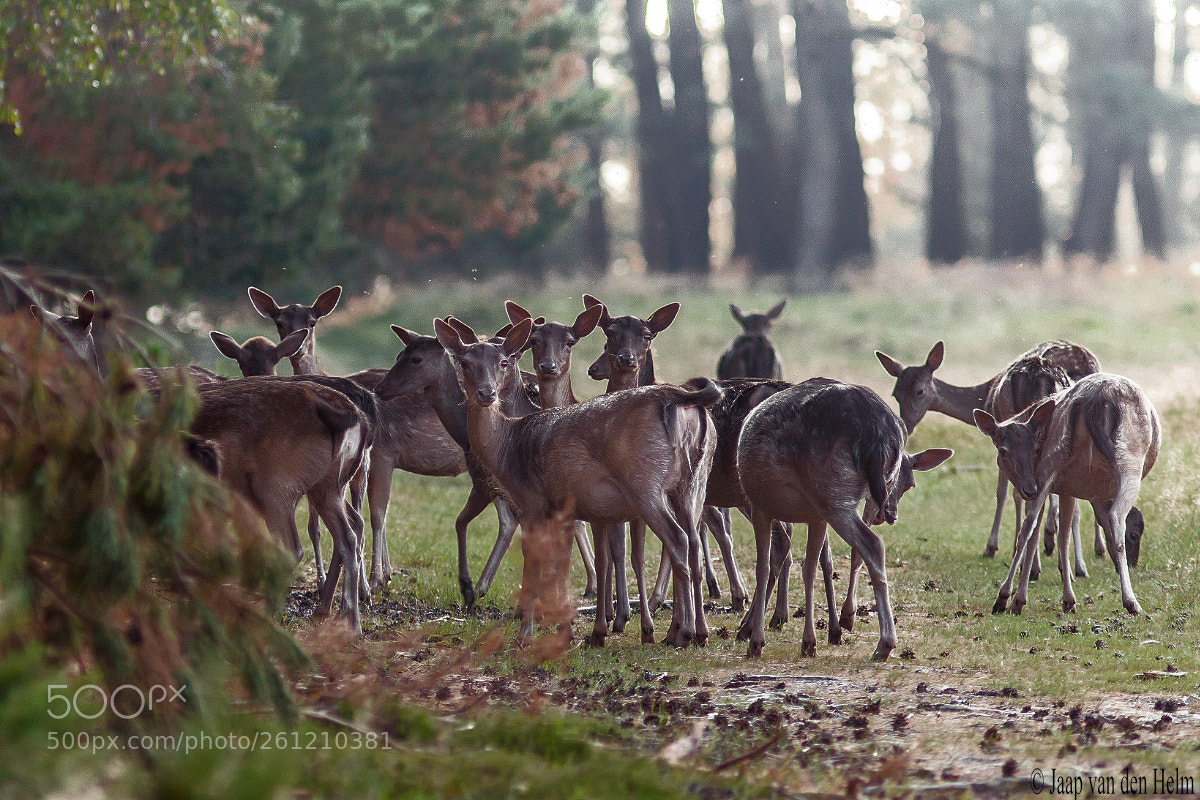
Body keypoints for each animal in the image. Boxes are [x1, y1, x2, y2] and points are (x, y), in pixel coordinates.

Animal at [192, 376, 373, 633]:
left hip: (276, 486)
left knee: (290, 548)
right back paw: (349, 622)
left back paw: (266, 614)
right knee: (350, 532)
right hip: (329, 487)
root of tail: (357, 419)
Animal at [395, 316, 719, 647]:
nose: (486, 394)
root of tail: (682, 399)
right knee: (692, 541)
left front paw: (526, 633)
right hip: (694, 485)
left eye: (503, 362)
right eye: (464, 362)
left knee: (678, 540)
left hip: (646, 483)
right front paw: (562, 626)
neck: (507, 448)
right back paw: (695, 631)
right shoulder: (560, 509)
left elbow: (535, 561)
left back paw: (683, 632)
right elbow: (561, 560)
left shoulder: (532, 501)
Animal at [737, 378, 953, 660]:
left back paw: (884, 644)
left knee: (873, 544)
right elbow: (809, 567)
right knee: (867, 547)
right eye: (910, 485)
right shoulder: (816, 516)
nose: (890, 514)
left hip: (833, 491)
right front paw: (809, 641)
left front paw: (755, 640)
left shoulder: (760, 506)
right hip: (851, 496)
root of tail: (876, 431)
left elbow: (763, 566)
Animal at [877, 339, 1104, 566]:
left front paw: (993, 547)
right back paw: (1087, 549)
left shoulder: (1003, 437)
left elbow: (1002, 492)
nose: (905, 425)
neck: (985, 398)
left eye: (920, 391)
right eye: (895, 394)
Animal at [973, 373, 1159, 618]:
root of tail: (1095, 400)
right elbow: (1066, 531)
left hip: (1053, 463)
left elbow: (1055, 534)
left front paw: (1055, 595)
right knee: (1116, 518)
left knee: (1028, 525)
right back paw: (1131, 602)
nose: (1134, 562)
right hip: (1129, 457)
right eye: (1136, 535)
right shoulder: (1069, 488)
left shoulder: (1062, 486)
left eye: (1035, 448)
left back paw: (1005, 599)